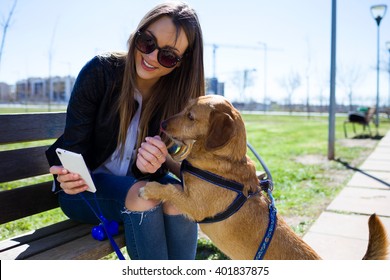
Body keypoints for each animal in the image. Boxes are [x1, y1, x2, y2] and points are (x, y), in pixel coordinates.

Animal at [139, 94, 386, 260]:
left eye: (190, 116)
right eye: (184, 109)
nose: (161, 124)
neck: (224, 159)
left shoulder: (194, 204)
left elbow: (169, 190)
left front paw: (148, 189)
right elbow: (175, 167)